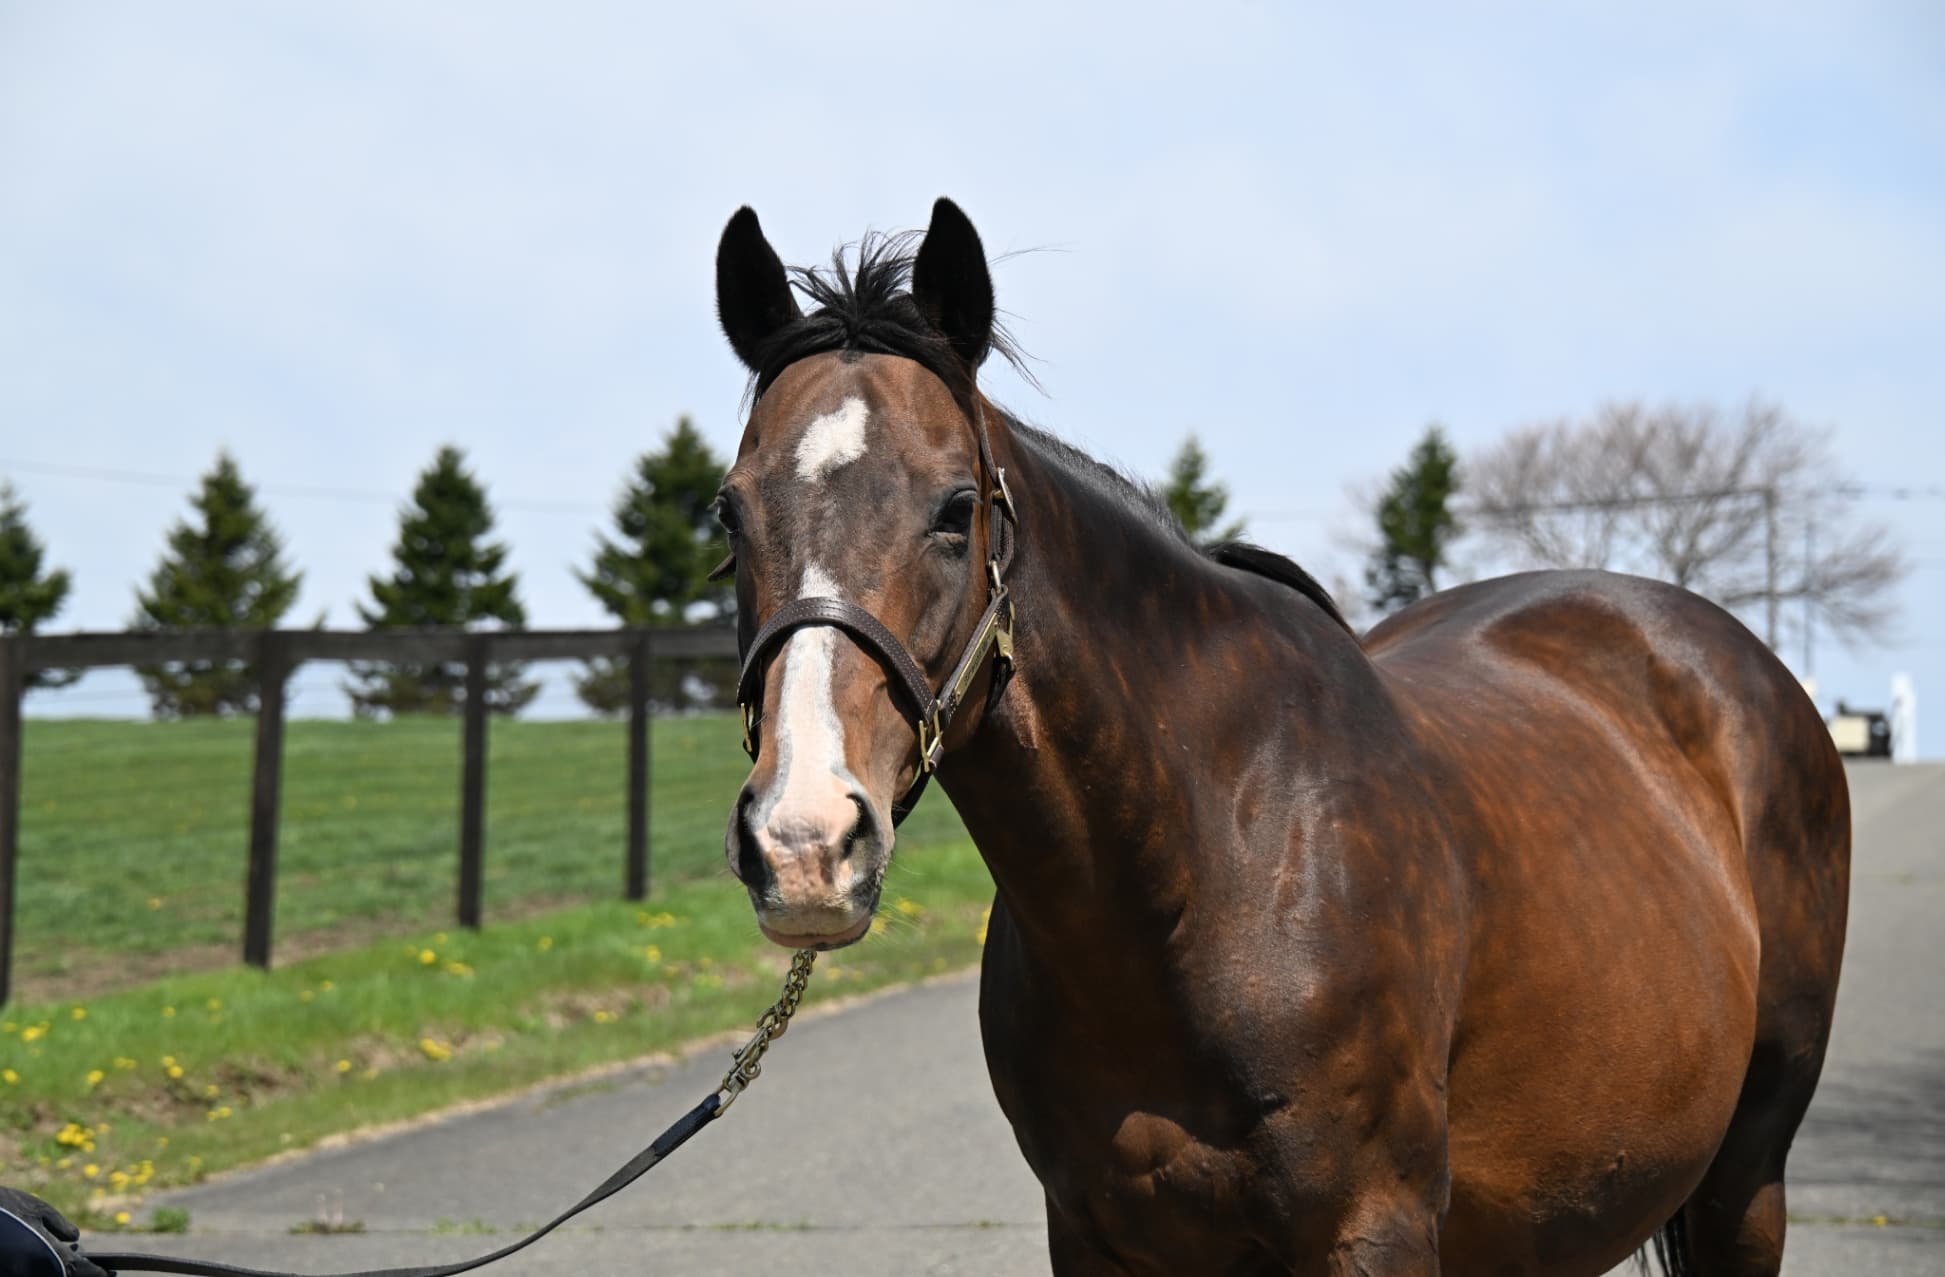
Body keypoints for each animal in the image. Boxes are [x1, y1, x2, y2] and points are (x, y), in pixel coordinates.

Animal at [709, 198, 1850, 1275]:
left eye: (954, 508)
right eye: (728, 513)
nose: (804, 843)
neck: (1209, 867)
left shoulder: (1372, 1228)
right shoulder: (1091, 1236)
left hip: (1746, 1177)